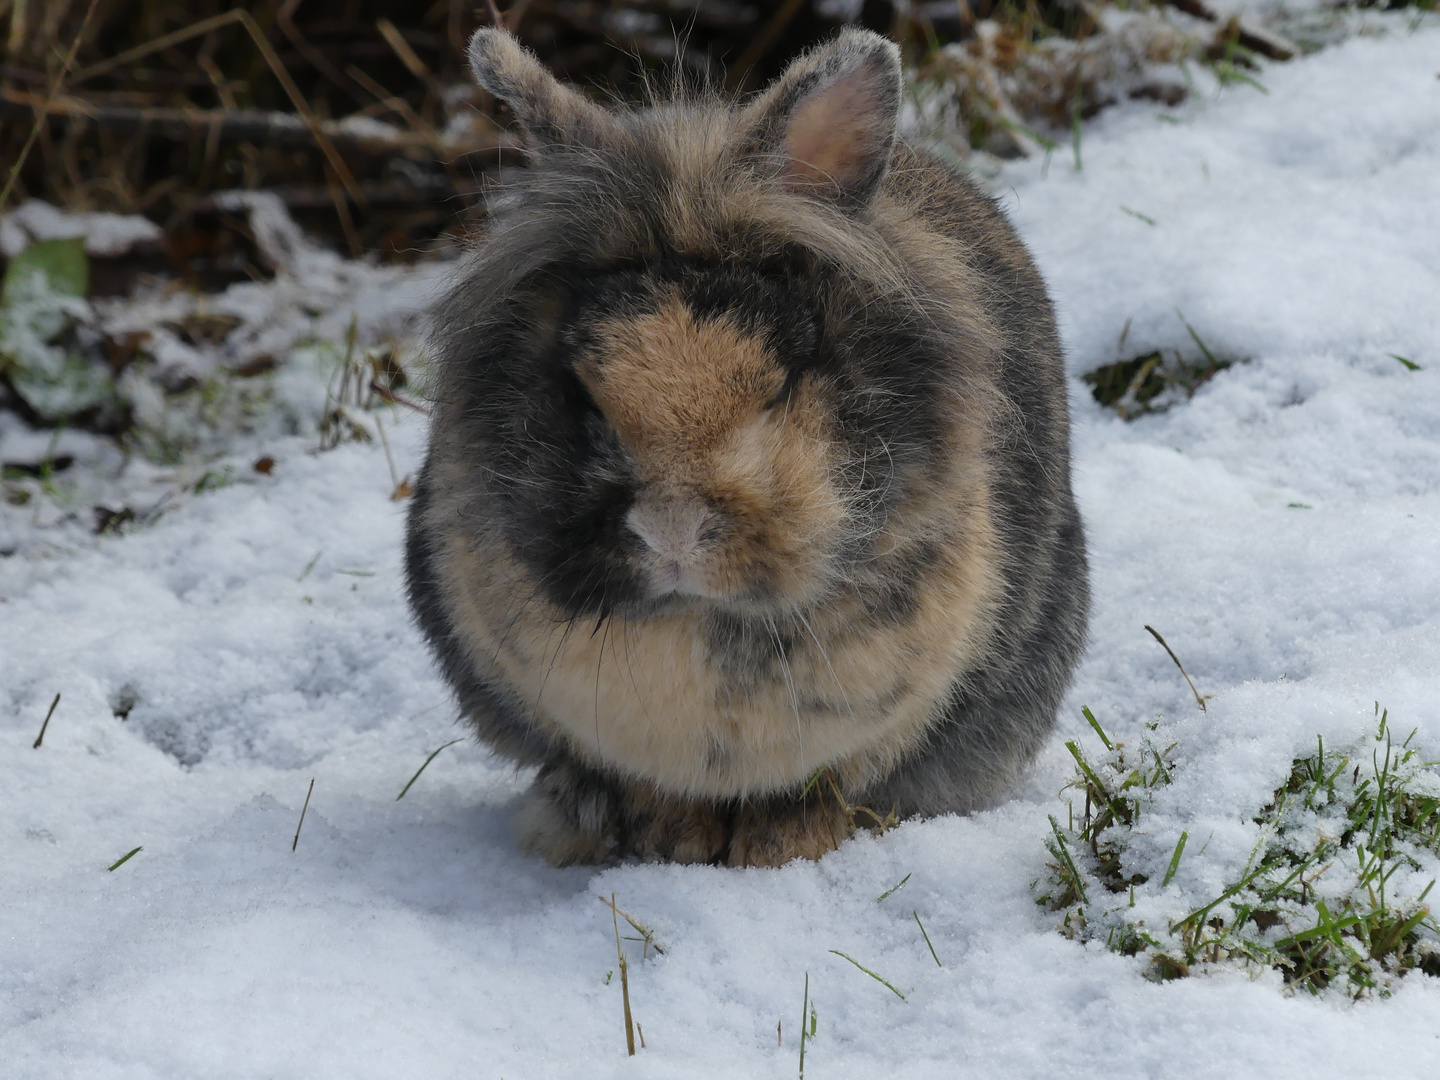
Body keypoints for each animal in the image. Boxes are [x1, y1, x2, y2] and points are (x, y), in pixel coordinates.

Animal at [400, 27, 1082, 869]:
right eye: (582, 389)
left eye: (779, 386)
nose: (672, 531)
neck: (700, 615)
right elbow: (648, 790)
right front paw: (673, 845)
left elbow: (817, 791)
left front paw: (776, 853)